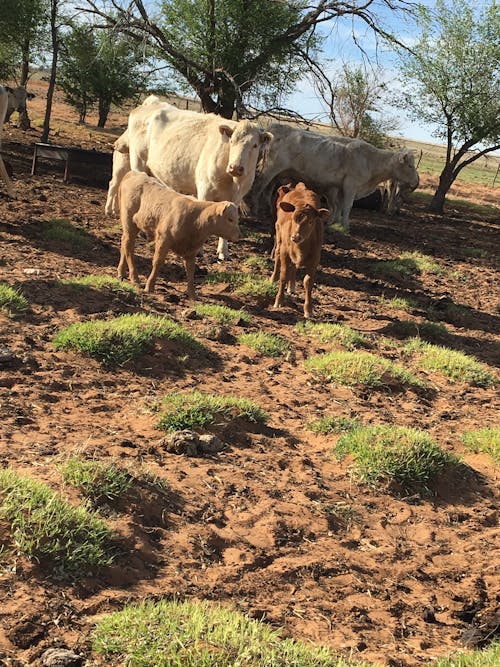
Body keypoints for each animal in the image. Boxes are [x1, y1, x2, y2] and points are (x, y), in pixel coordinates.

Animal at [103, 98, 272, 260]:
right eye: (232, 141)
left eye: (255, 145)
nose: (235, 167)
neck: (232, 181)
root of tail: (152, 102)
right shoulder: (205, 190)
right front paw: (198, 250)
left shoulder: (236, 198)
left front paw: (223, 251)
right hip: (136, 161)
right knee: (118, 183)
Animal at [250, 124, 418, 231]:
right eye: (410, 165)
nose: (417, 181)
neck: (370, 160)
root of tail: (276, 127)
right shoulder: (351, 184)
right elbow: (347, 205)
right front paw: (345, 225)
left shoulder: (340, 187)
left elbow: (338, 205)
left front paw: (336, 222)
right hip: (270, 168)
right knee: (259, 184)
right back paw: (254, 208)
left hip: (277, 173)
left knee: (268, 189)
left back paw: (267, 209)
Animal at [272, 183, 330, 318]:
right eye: (293, 218)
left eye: (311, 222)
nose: (295, 237)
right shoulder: (285, 252)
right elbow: (283, 275)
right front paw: (279, 300)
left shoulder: (315, 257)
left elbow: (308, 282)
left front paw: (308, 310)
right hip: (279, 236)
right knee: (277, 254)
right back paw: (273, 278)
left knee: (294, 266)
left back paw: (292, 286)